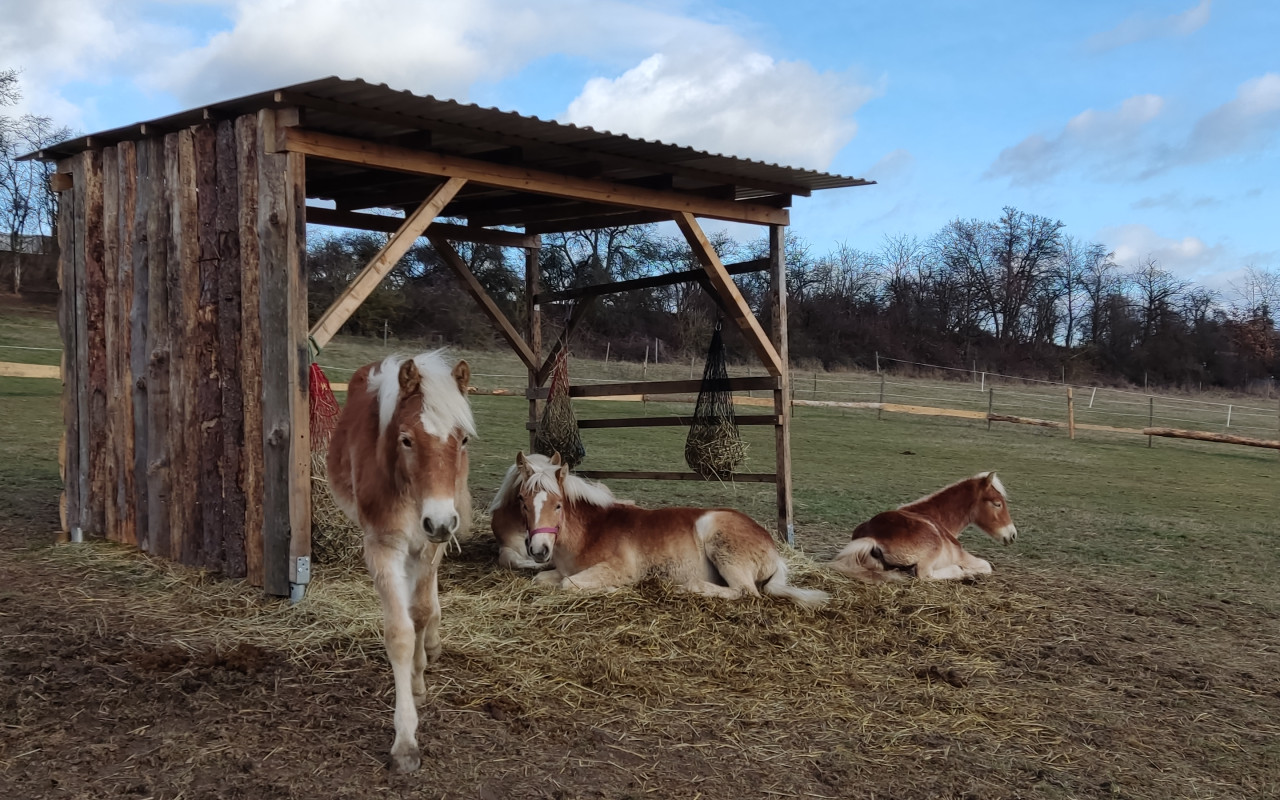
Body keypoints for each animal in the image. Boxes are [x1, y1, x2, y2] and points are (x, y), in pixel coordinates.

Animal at [325, 353, 476, 773]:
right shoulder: (384, 546)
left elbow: (421, 612)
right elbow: (400, 632)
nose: (439, 522)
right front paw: (406, 741)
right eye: (406, 439)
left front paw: (419, 678)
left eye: (463, 439)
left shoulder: (428, 542)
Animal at [509, 450, 829, 604]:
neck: (589, 533)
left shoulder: (616, 569)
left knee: (745, 592)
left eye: (558, 505)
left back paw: (688, 588)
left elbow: (569, 584)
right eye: (522, 500)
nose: (539, 550)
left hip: (719, 540)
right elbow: (544, 580)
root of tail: (773, 550)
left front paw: (613, 590)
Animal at [829, 468, 1018, 581]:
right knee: (926, 575)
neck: (935, 517)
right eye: (997, 503)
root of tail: (872, 538)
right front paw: (968, 572)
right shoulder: (960, 554)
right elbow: (986, 565)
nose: (1012, 535)